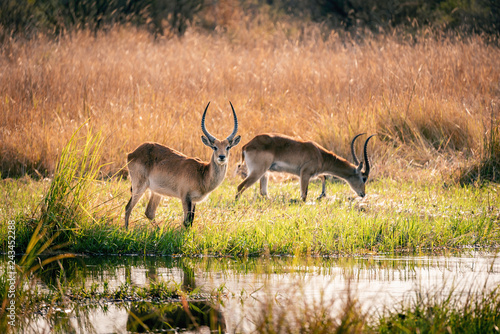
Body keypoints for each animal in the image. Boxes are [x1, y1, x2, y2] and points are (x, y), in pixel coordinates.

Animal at [235, 133, 376, 201]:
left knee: (263, 192)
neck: (320, 155)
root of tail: (247, 145)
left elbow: (323, 177)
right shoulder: (305, 174)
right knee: (240, 187)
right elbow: (304, 195)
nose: (363, 194)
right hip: (258, 172)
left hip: (265, 173)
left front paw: (321, 195)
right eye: (364, 178)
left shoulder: (312, 173)